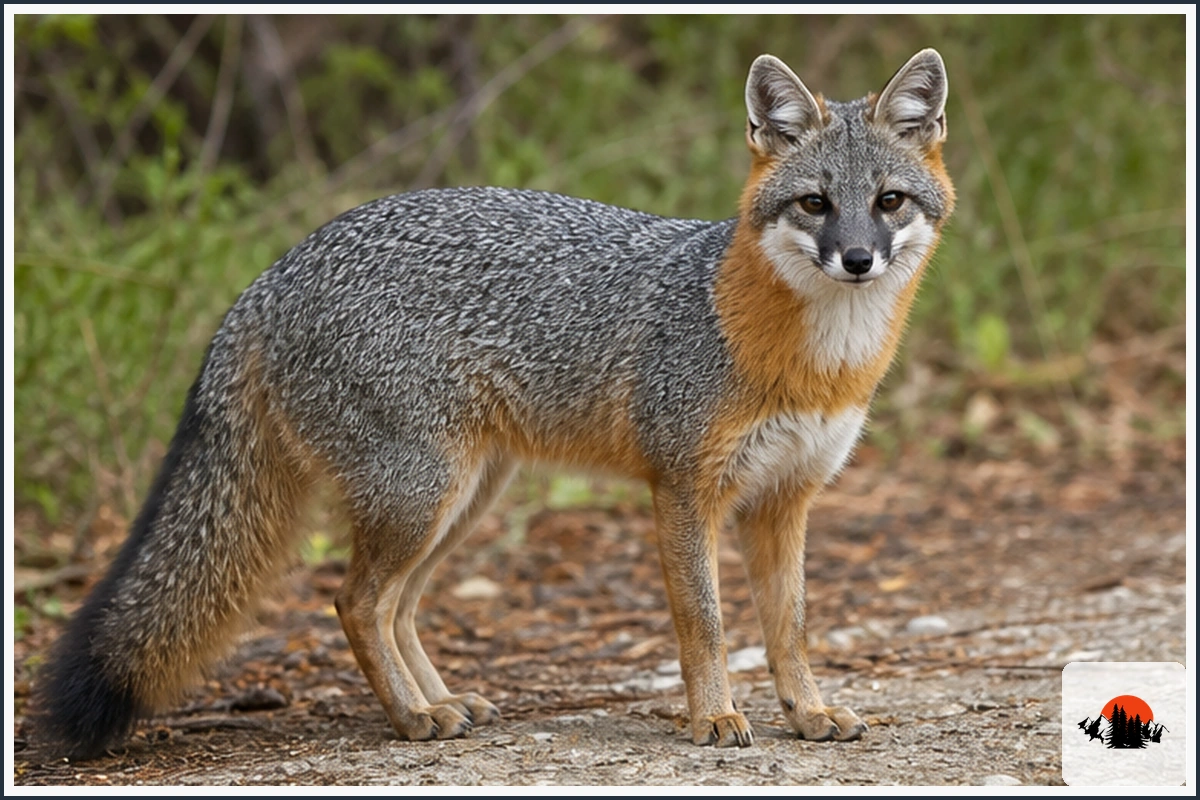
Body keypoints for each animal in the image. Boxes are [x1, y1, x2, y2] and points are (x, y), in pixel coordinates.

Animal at [34, 49, 954, 758]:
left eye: (889, 201)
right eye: (815, 204)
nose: (858, 259)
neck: (812, 360)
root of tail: (273, 272)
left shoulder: (787, 499)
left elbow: (789, 625)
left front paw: (808, 711)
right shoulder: (684, 488)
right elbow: (705, 621)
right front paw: (715, 717)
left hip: (463, 499)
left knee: (397, 605)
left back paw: (440, 703)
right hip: (422, 494)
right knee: (353, 601)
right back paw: (411, 719)